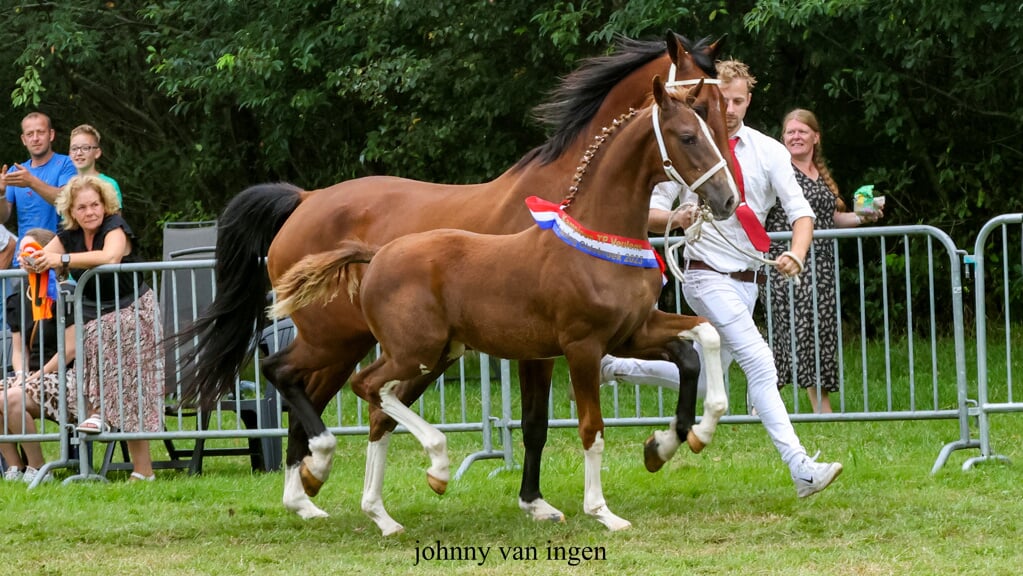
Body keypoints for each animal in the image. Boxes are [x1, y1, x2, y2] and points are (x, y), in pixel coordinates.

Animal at [178, 35, 736, 523]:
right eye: (697, 121)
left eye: (723, 109)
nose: (730, 198)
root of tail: (304, 198)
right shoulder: (563, 346)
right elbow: (555, 425)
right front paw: (564, 503)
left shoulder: (624, 331)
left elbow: (697, 344)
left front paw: (669, 442)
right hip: (340, 337)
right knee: (293, 379)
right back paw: (320, 469)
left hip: (390, 346)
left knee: (336, 398)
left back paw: (314, 492)